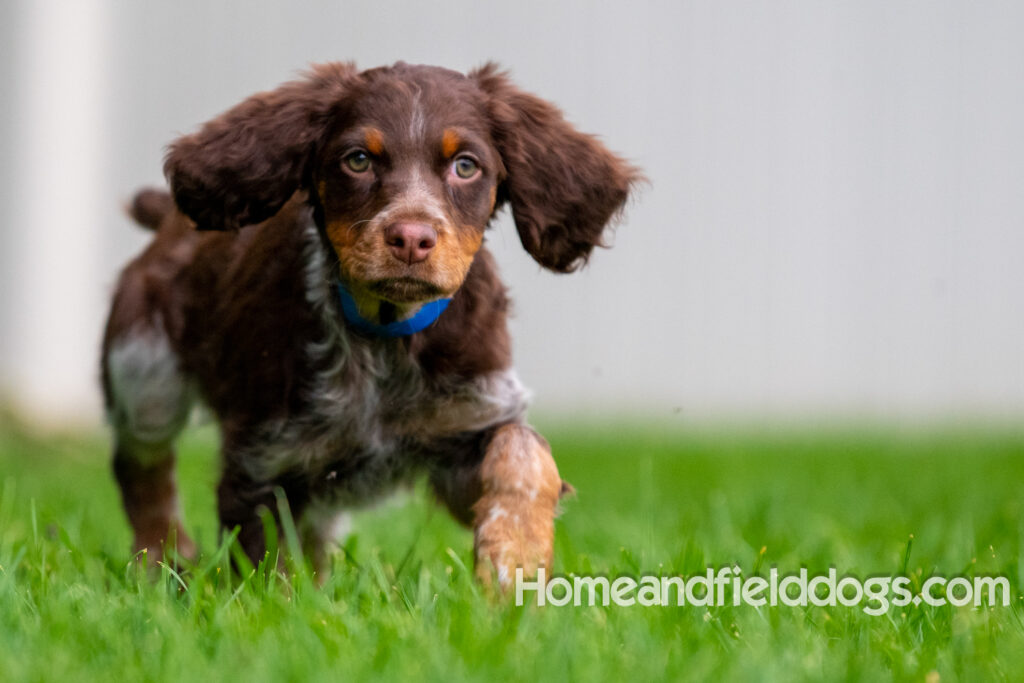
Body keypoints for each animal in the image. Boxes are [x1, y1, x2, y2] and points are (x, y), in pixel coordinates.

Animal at [99, 62, 634, 589]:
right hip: (144, 369)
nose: (412, 238)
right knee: (142, 465)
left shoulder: (468, 421)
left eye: (466, 166)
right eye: (358, 160)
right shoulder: (260, 459)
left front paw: (515, 558)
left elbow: (524, 450)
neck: (385, 333)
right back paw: (160, 559)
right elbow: (266, 570)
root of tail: (168, 222)